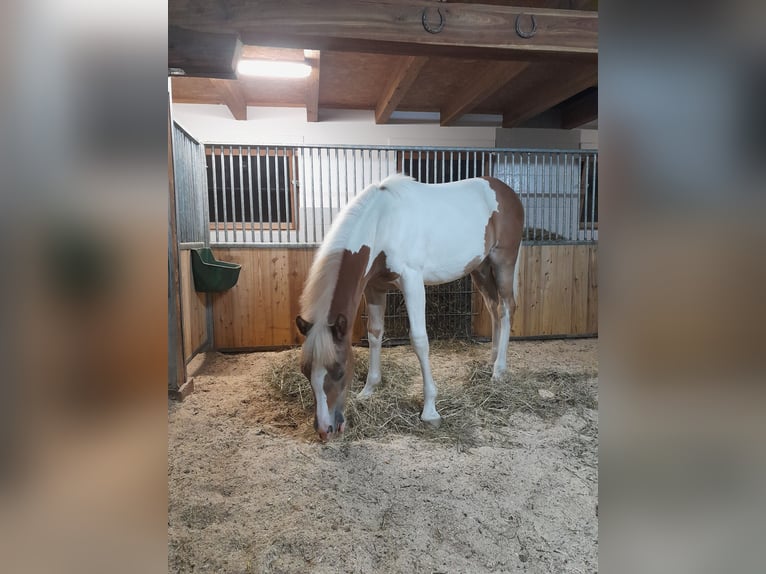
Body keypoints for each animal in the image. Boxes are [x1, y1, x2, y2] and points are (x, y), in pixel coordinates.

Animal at [296, 174, 524, 441]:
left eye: (340, 370)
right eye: (305, 371)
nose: (325, 429)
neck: (382, 223)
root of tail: (506, 191)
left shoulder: (412, 281)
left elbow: (419, 339)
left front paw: (430, 410)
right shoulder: (374, 287)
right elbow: (375, 334)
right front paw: (369, 389)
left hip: (503, 262)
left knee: (506, 308)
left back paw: (499, 371)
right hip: (481, 268)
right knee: (493, 307)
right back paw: (492, 359)